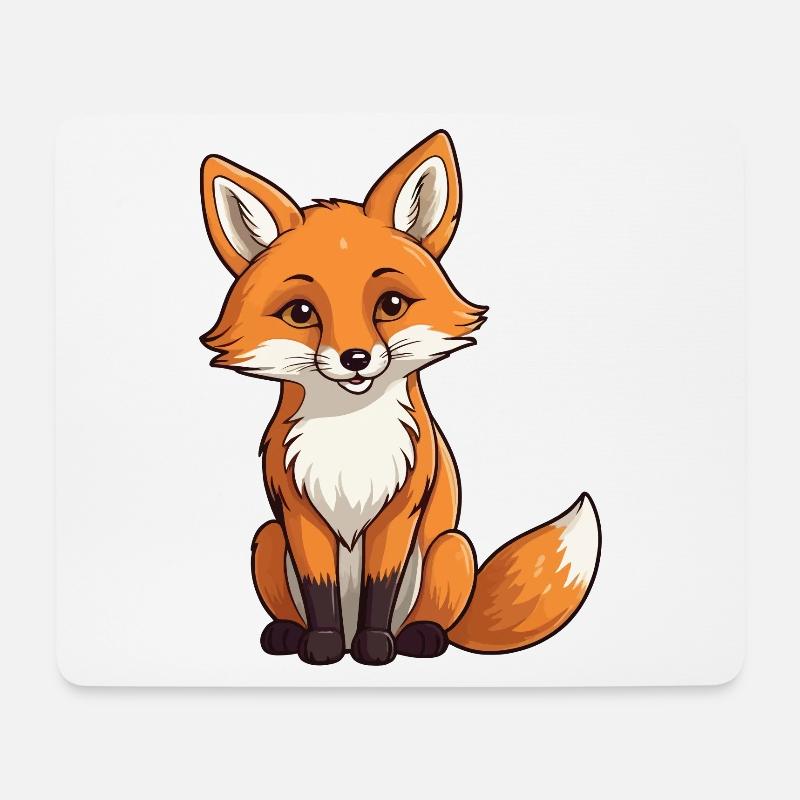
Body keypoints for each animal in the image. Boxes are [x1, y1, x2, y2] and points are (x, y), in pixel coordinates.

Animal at [200, 130, 601, 666]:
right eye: (301, 313)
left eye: (391, 304)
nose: (355, 358)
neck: (350, 437)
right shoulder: (298, 513)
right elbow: (319, 592)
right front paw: (323, 645)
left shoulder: (400, 509)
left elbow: (379, 587)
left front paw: (373, 647)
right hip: (266, 539)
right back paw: (287, 632)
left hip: (450, 549)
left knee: (431, 614)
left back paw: (419, 636)